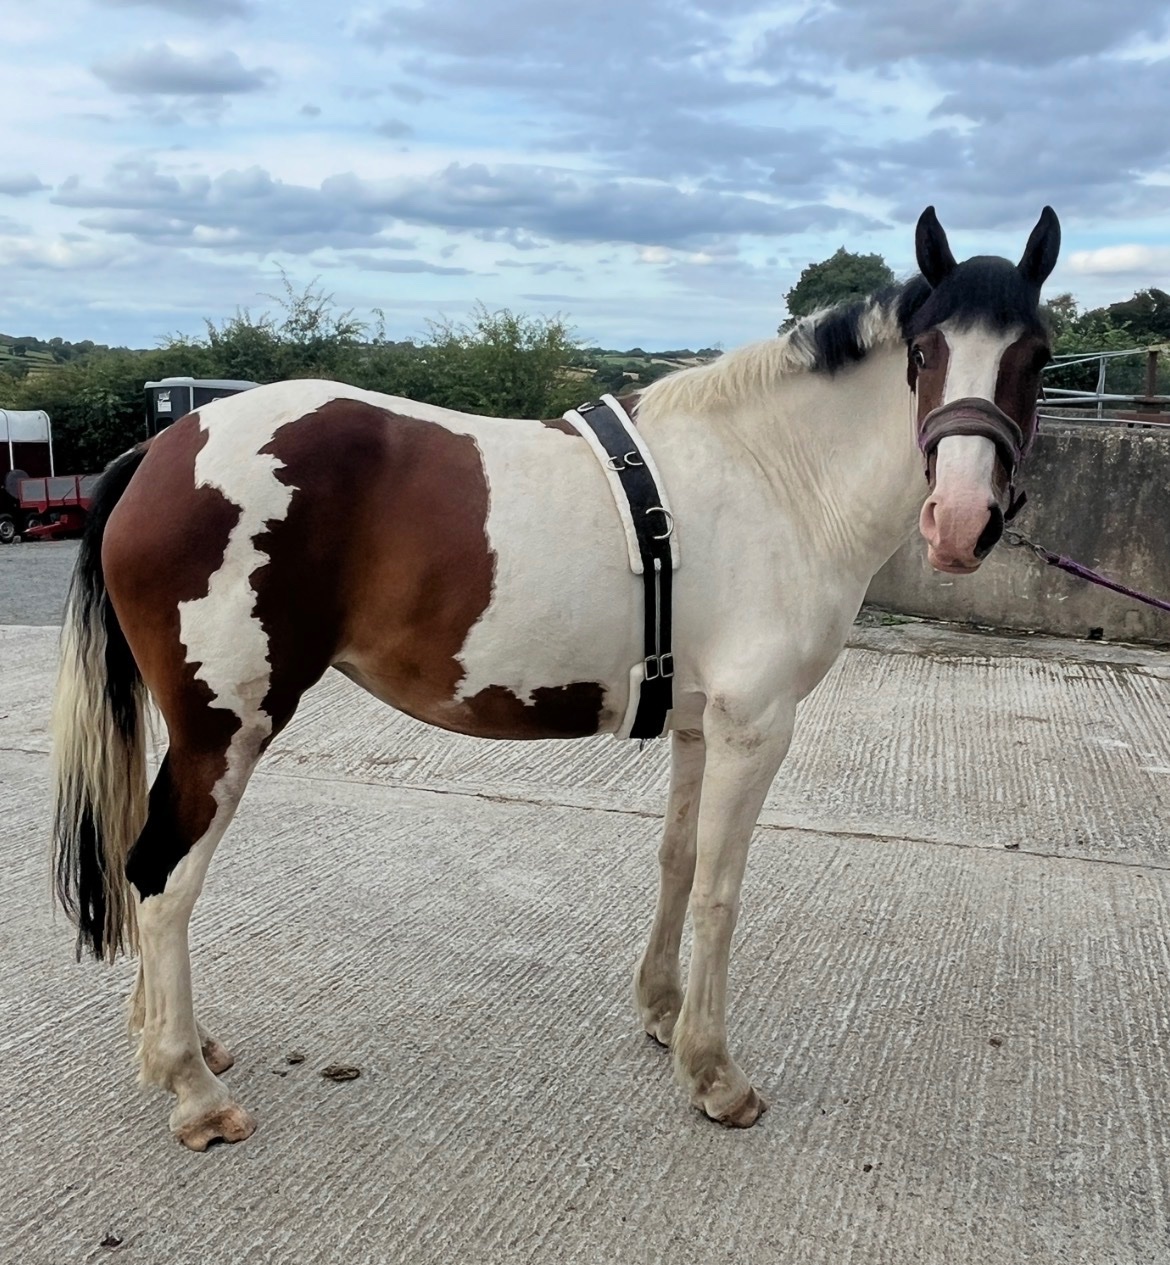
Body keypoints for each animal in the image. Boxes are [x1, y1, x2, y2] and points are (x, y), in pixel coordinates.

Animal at [51, 205, 1060, 1150]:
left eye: (1038, 357)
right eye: (925, 351)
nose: (960, 521)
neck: (774, 475)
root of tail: (162, 451)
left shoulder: (700, 722)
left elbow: (677, 862)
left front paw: (663, 1015)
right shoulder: (755, 725)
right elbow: (721, 890)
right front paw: (715, 1074)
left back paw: (180, 1048)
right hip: (225, 730)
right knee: (162, 879)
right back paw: (192, 1089)